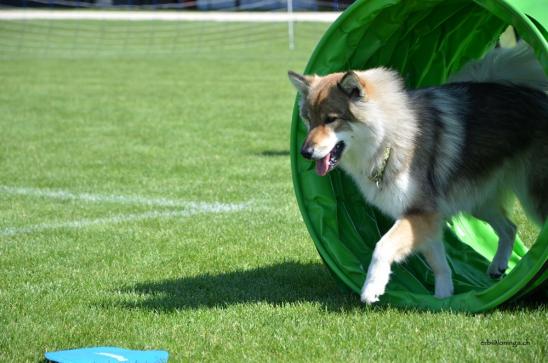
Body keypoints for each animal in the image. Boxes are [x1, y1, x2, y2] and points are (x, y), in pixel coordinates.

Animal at [288, 42, 544, 304]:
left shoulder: (419, 212)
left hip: (532, 197)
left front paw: (372, 287)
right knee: (509, 227)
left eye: (331, 120)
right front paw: (444, 297)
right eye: (308, 119)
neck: (389, 139)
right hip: (478, 200)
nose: (304, 152)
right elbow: (439, 263)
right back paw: (498, 266)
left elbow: (382, 246)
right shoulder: (426, 218)